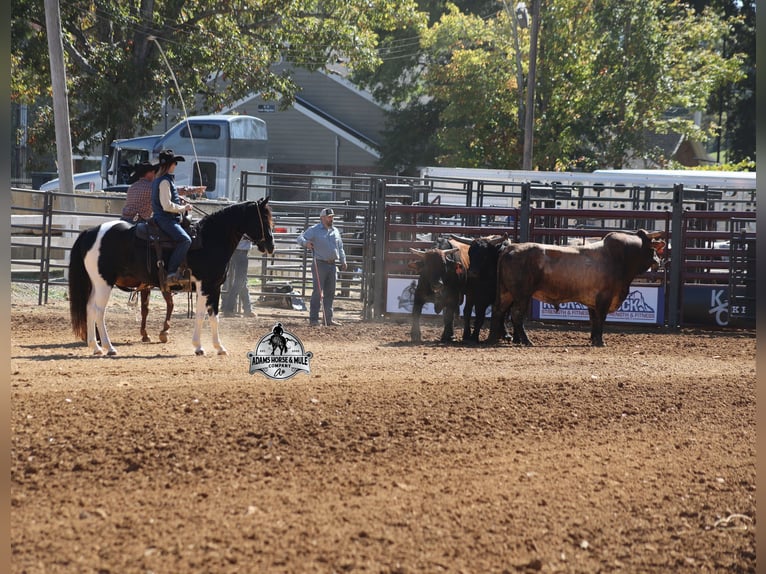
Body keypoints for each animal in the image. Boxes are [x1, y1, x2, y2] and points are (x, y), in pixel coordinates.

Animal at [68, 197, 274, 356]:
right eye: (264, 218)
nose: (271, 246)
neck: (210, 239)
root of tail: (90, 232)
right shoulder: (204, 285)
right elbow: (201, 314)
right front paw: (198, 347)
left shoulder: (214, 287)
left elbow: (214, 316)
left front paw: (219, 347)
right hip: (104, 283)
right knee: (98, 311)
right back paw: (109, 348)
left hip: (96, 283)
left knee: (89, 308)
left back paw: (95, 347)